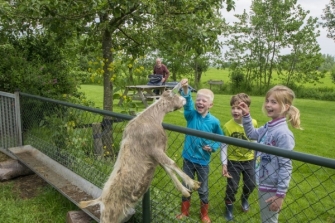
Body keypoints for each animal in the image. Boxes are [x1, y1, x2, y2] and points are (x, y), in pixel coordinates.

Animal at [79, 88, 200, 222]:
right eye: (173, 94)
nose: (185, 99)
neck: (150, 118)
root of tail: (101, 200)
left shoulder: (157, 155)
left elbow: (169, 170)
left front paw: (185, 191)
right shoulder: (154, 149)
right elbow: (172, 164)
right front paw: (193, 183)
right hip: (110, 216)